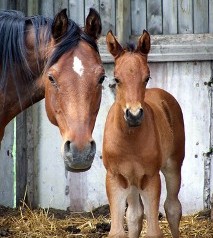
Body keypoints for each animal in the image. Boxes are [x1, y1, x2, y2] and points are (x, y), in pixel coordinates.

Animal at [103, 30, 185, 238]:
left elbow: (154, 231)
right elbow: (118, 230)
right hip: (132, 181)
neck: (129, 140)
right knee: (134, 215)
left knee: (173, 207)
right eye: (116, 79)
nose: (133, 115)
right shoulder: (115, 178)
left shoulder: (150, 178)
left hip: (173, 165)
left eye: (147, 77)